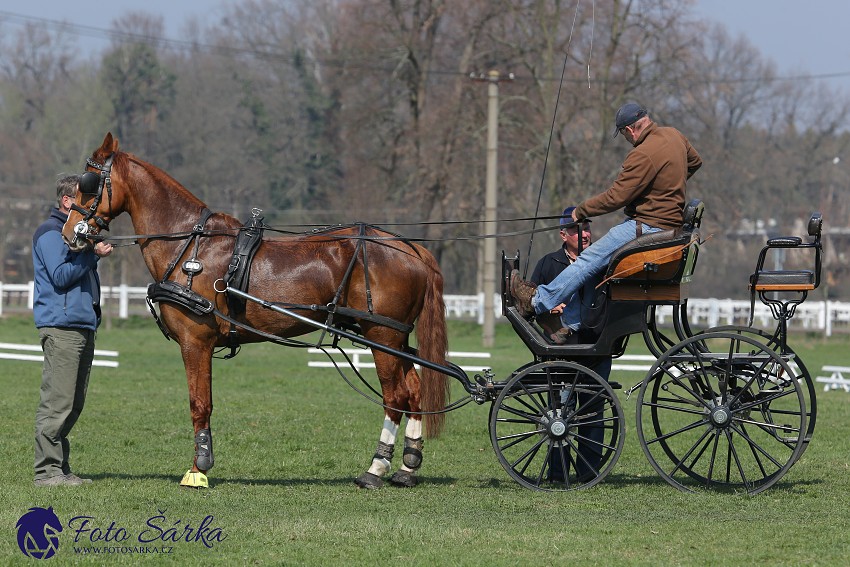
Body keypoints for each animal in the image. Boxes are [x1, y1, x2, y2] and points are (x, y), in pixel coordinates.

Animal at [62, 133, 448, 488]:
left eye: (88, 183)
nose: (70, 233)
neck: (191, 247)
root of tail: (410, 248)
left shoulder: (195, 342)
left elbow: (199, 404)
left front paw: (199, 468)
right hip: (394, 339)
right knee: (414, 392)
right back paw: (407, 468)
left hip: (383, 335)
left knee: (395, 397)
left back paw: (375, 469)